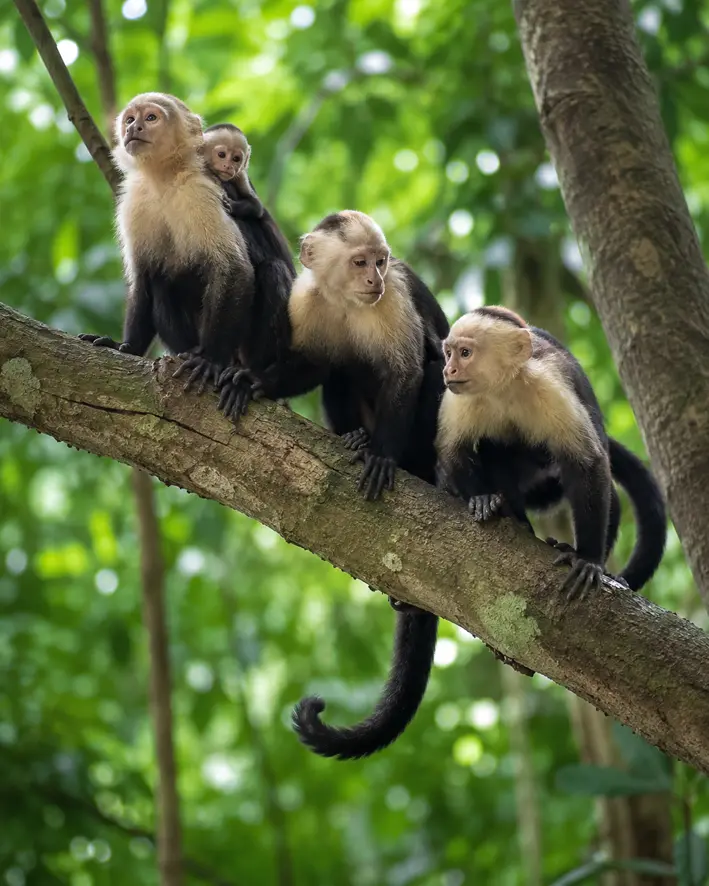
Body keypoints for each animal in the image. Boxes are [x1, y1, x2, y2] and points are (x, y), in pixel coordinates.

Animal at [435, 306, 667, 598]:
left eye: (465, 353)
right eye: (449, 352)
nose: (448, 369)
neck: (504, 387)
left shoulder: (547, 385)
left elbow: (587, 462)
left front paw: (588, 558)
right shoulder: (459, 396)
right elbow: (452, 449)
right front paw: (482, 498)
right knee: (495, 448)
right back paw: (514, 516)